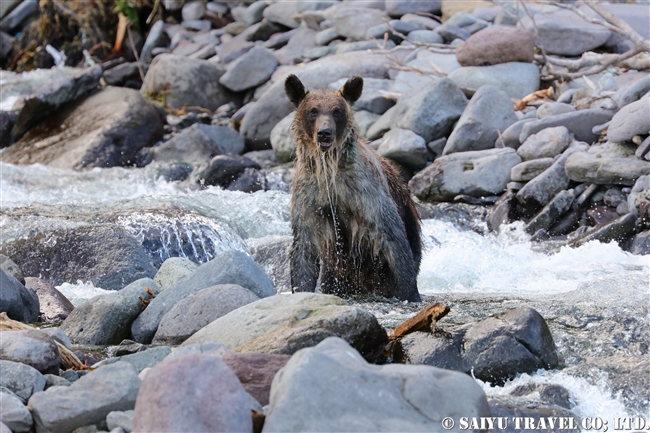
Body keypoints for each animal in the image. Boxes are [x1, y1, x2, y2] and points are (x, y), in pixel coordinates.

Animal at [284, 74, 420, 302]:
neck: (329, 171)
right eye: (313, 110)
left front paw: (411, 294)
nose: (324, 133)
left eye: (336, 110)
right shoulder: (310, 197)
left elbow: (393, 240)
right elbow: (304, 251)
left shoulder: (364, 193)